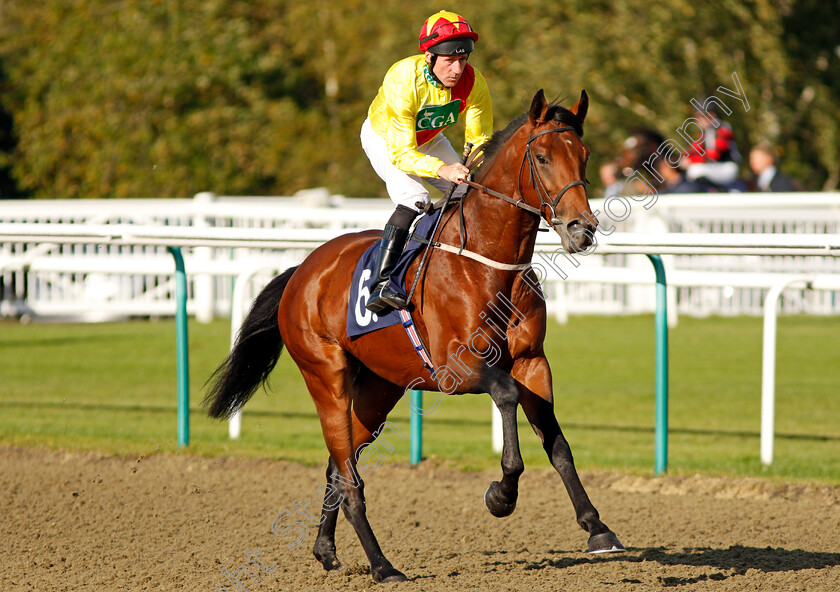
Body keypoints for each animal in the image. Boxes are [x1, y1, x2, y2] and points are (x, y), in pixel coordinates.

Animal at [203, 89, 624, 584]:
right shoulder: (453, 369)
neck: (487, 263)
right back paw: (383, 566)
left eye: (585, 155)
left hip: (378, 388)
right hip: (325, 376)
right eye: (541, 157)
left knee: (338, 466)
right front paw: (501, 494)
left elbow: (558, 444)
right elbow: (505, 396)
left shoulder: (532, 362)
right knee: (349, 476)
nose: (582, 229)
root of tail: (302, 270)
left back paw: (325, 549)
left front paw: (597, 528)